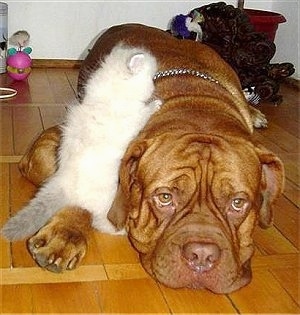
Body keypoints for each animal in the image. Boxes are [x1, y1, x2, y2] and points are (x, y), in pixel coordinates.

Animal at [1, 41, 159, 239]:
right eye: (151, 78)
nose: (154, 87)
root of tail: (64, 184)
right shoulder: (134, 119)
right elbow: (145, 113)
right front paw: (156, 104)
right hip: (106, 203)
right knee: (102, 223)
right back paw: (123, 231)